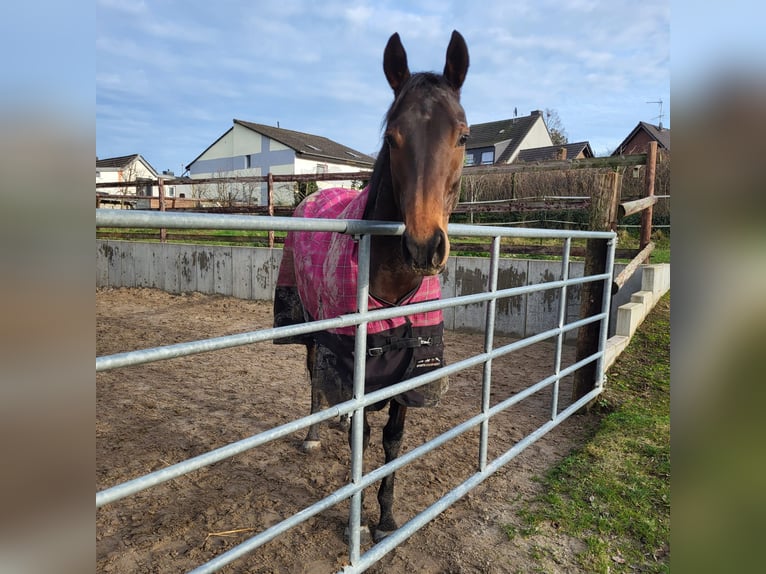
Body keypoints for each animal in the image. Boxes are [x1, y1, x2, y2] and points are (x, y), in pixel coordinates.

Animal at [273, 30, 469, 543]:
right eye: (391, 137)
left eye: (463, 135)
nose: (423, 246)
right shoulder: (352, 363)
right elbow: (360, 439)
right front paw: (356, 522)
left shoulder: (410, 371)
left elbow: (392, 442)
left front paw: (386, 519)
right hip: (309, 326)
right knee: (313, 377)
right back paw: (313, 435)